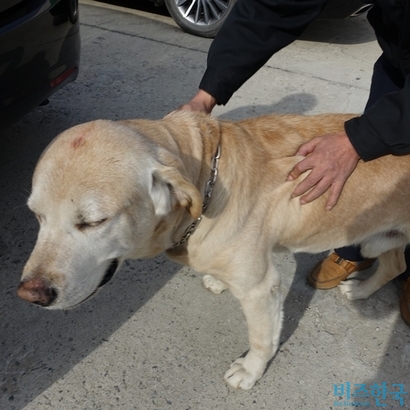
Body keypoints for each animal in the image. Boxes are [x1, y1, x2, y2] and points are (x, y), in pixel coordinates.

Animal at [18, 110, 410, 390]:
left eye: (92, 222)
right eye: (36, 215)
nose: (31, 294)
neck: (206, 178)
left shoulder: (261, 288)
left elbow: (262, 338)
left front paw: (250, 371)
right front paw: (218, 281)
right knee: (394, 265)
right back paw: (361, 290)